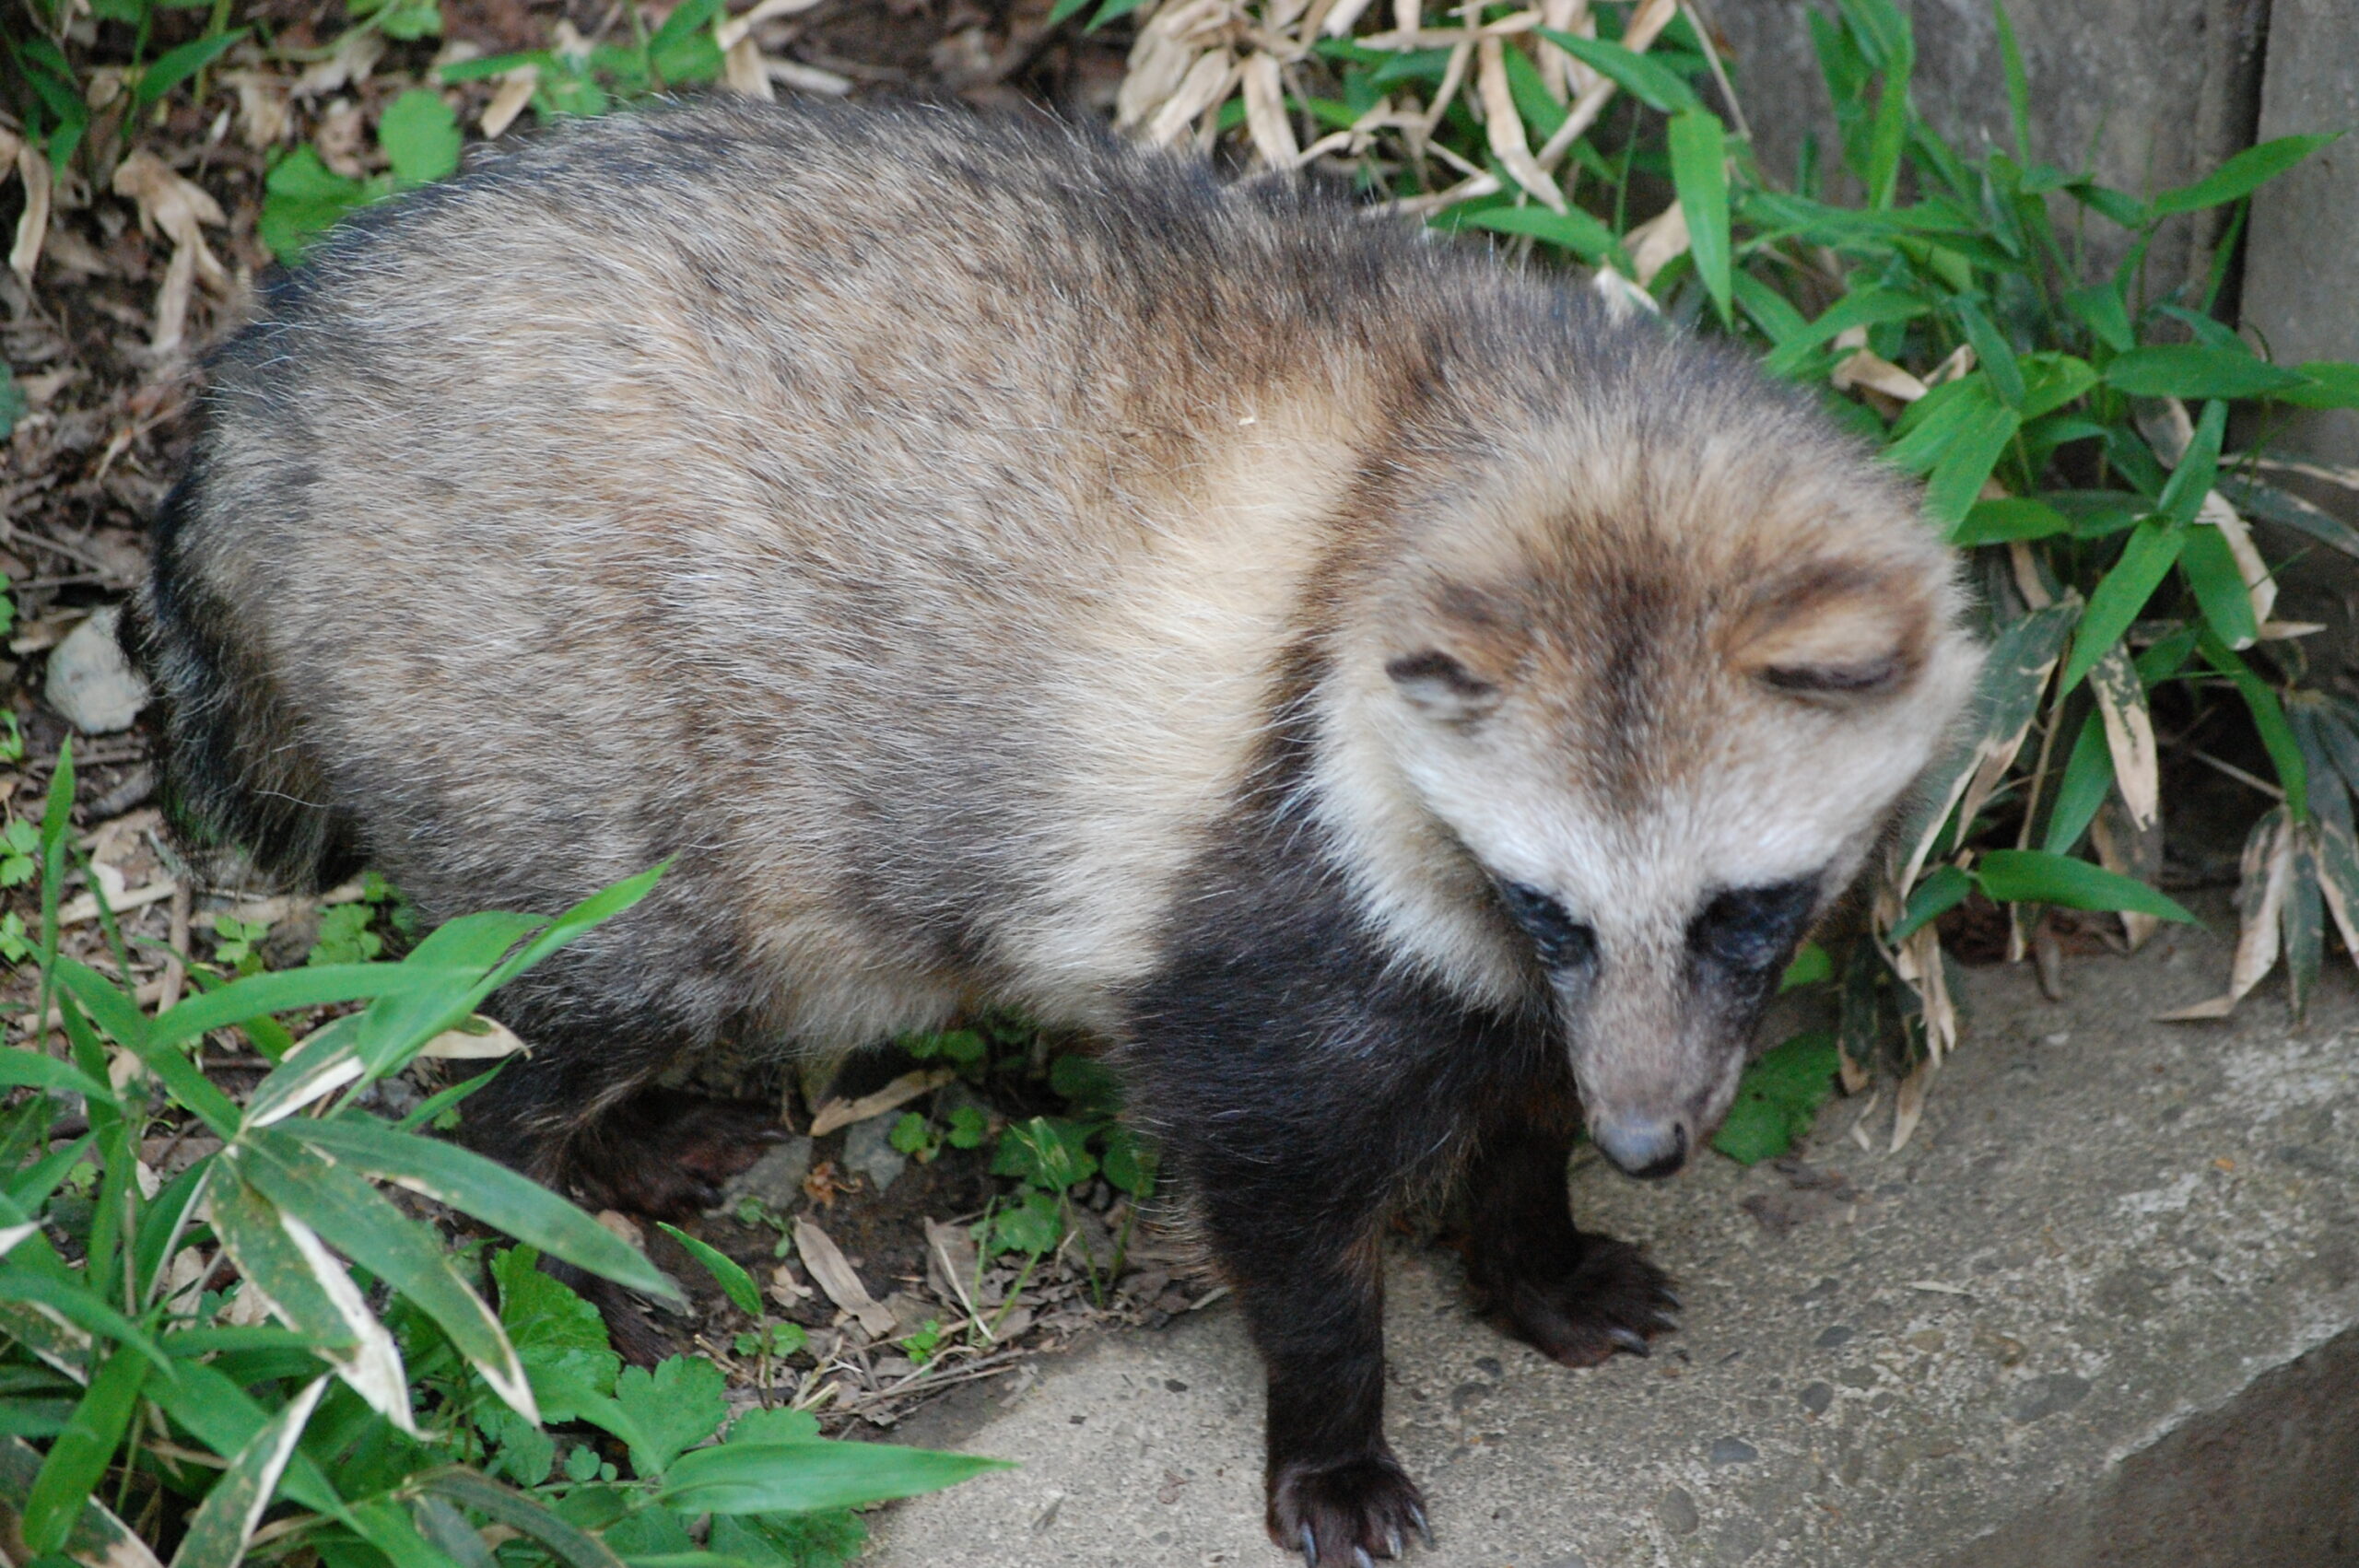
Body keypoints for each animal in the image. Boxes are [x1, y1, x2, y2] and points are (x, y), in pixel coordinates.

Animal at [137, 97, 1981, 1564]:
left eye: (1747, 907)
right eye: (1561, 906)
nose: (1654, 1141)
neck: (1481, 437)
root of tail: (264, 387)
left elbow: (1517, 1095)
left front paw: (1538, 1239)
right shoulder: (1279, 867)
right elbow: (1277, 1175)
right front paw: (1334, 1424)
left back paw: (619, 1144)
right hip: (549, 734)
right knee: (549, 1011)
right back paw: (544, 1205)